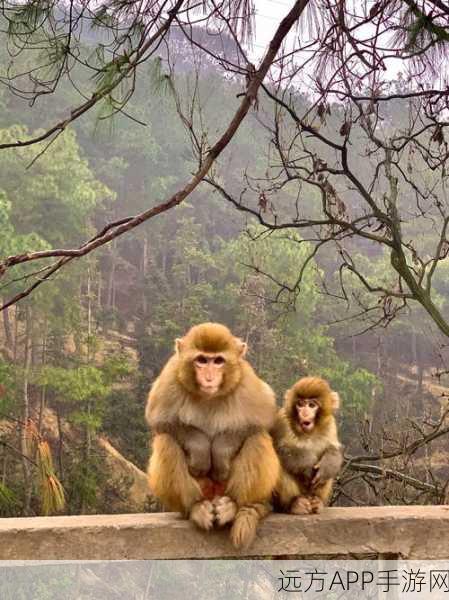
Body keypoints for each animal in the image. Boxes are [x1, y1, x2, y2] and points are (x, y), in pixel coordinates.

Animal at [145, 324, 278, 548]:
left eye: (218, 361)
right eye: (201, 360)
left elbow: (263, 420)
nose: (209, 378)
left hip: (226, 486)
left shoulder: (246, 381)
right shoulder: (171, 377)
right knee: (166, 441)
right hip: (200, 488)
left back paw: (233, 506)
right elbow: (160, 422)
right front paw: (200, 451)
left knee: (257, 437)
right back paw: (195, 508)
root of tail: (214, 493)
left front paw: (220, 453)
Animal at [270, 378, 344, 512]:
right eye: (300, 404)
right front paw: (307, 466)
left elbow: (333, 448)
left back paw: (317, 501)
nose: (304, 413)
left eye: (311, 405)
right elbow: (280, 449)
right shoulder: (282, 420)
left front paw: (327, 466)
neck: (308, 432)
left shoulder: (330, 423)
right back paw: (294, 503)